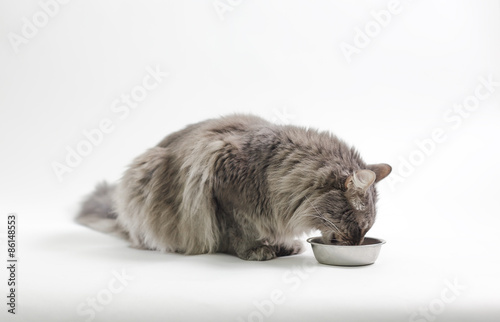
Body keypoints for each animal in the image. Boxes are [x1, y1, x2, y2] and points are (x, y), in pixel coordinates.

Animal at [77, 114, 390, 260]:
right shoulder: (223, 189)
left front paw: (281, 243)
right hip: (146, 174)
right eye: (360, 227)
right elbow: (239, 231)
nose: (358, 243)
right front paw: (257, 249)